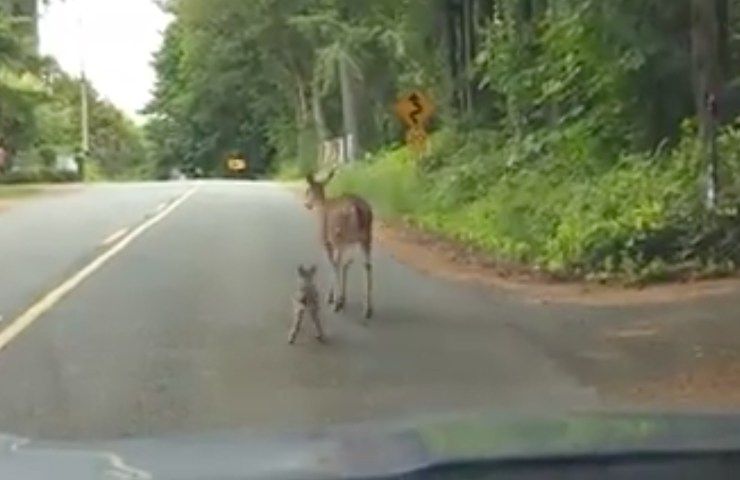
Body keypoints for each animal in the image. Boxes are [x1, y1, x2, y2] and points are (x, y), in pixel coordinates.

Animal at [304, 170, 372, 318]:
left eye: (307, 191)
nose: (306, 204)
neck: (321, 206)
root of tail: (356, 208)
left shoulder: (327, 241)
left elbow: (333, 264)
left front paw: (332, 298)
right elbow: (341, 265)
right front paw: (340, 298)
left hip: (341, 236)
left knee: (340, 263)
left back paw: (338, 303)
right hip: (366, 237)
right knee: (365, 265)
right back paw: (367, 309)